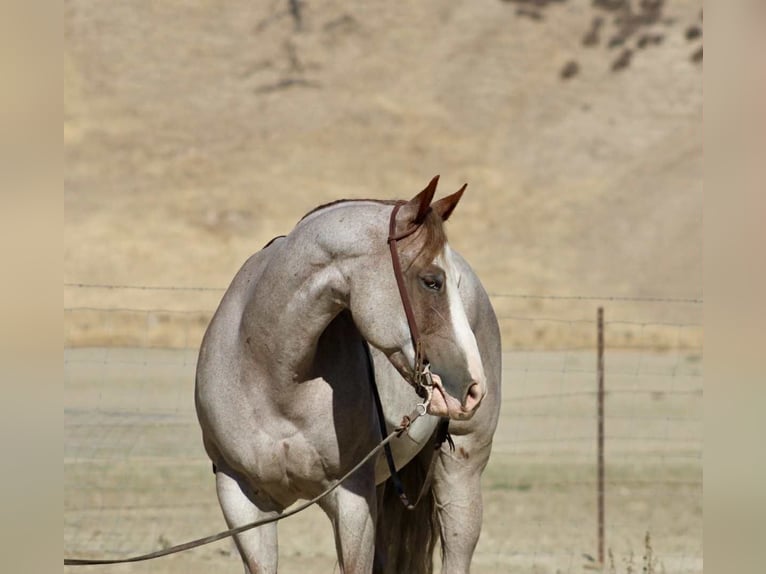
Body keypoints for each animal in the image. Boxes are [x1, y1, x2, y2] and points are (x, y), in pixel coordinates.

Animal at [195, 176, 502, 574]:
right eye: (431, 281)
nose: (472, 388)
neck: (270, 373)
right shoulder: (241, 500)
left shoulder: (351, 500)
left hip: (461, 472)